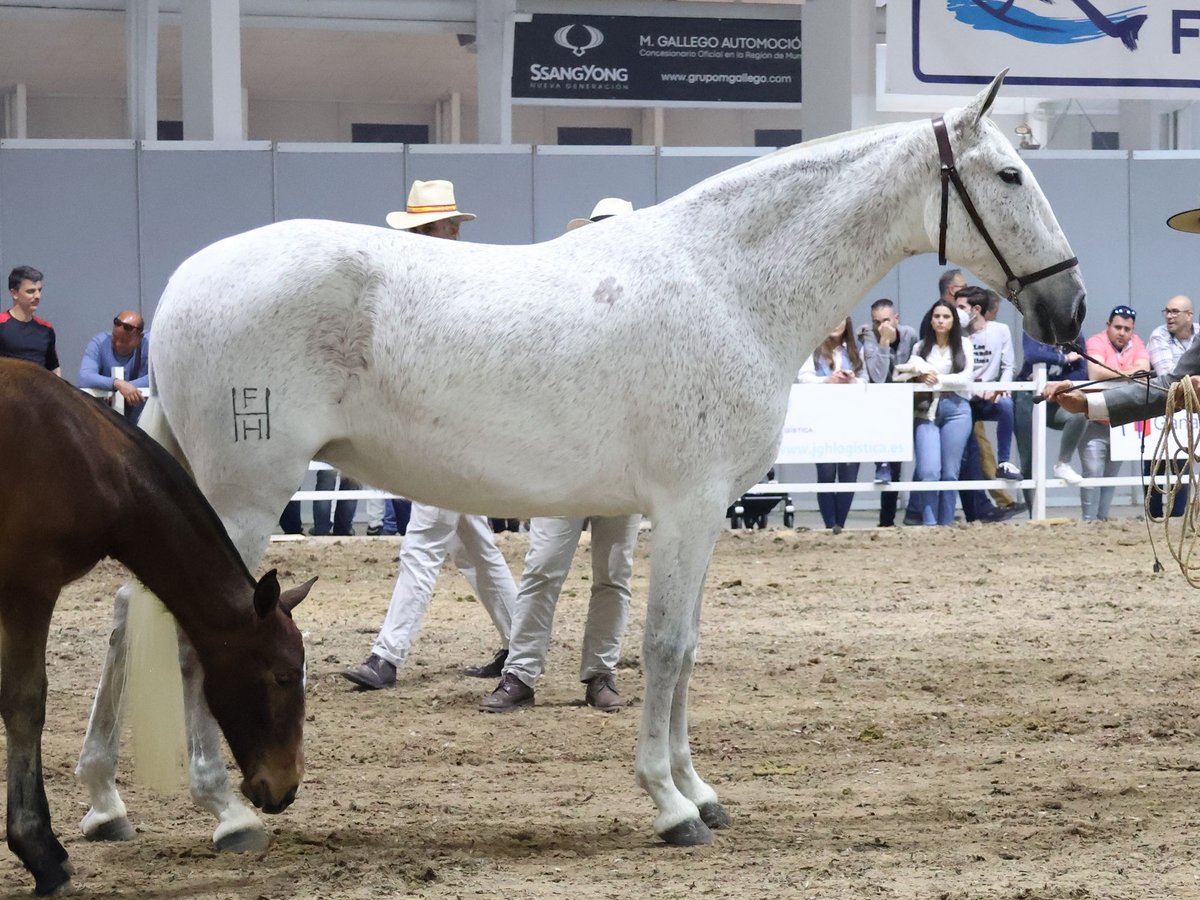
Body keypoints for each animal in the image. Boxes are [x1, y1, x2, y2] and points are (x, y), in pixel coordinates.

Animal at [0, 360, 314, 897]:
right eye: (284, 675)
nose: (285, 788)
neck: (80, 448)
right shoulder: (28, 589)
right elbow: (24, 706)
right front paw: (40, 851)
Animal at [77, 72, 1089, 854]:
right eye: (1009, 174)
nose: (1072, 310)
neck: (725, 282)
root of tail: (184, 284)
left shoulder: (697, 515)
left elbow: (683, 648)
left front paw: (701, 791)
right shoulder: (686, 507)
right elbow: (666, 646)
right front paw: (672, 804)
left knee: (130, 615)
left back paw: (104, 804)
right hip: (246, 495)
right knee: (192, 630)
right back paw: (229, 814)